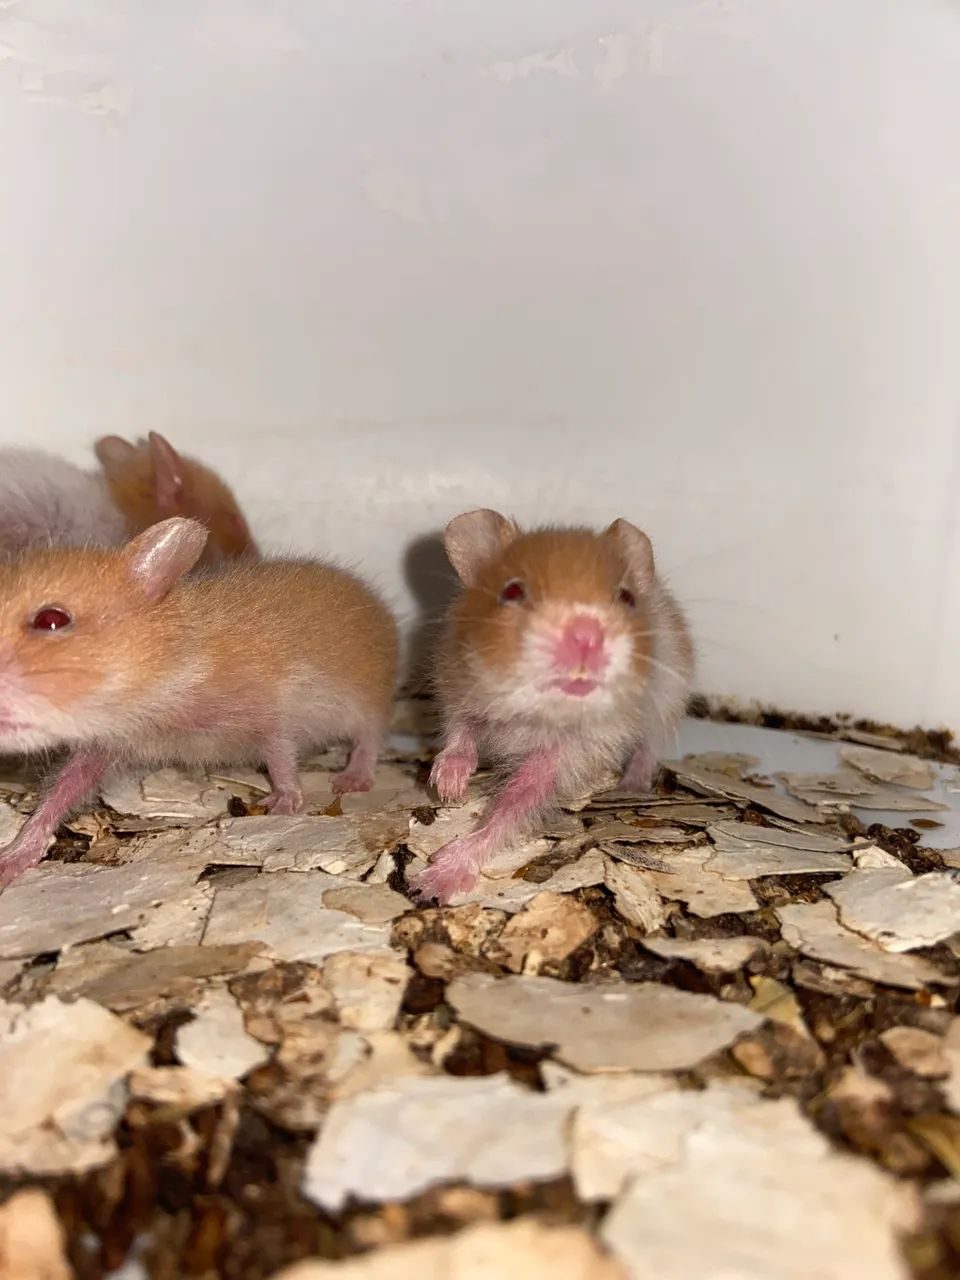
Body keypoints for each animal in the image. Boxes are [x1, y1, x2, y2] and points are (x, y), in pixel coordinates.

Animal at [0, 518, 398, 886]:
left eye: (52, 620)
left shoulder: (268, 715)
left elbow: (281, 759)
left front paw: (280, 807)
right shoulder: (103, 747)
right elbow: (56, 798)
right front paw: (11, 861)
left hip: (366, 702)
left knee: (371, 738)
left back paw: (349, 780)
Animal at [411, 509, 694, 904]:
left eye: (626, 597)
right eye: (512, 591)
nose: (587, 636)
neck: (536, 711)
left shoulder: (564, 756)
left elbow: (510, 807)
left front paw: (431, 881)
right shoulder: (456, 688)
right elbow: (460, 735)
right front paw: (448, 786)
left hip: (667, 701)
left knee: (649, 748)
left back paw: (630, 786)